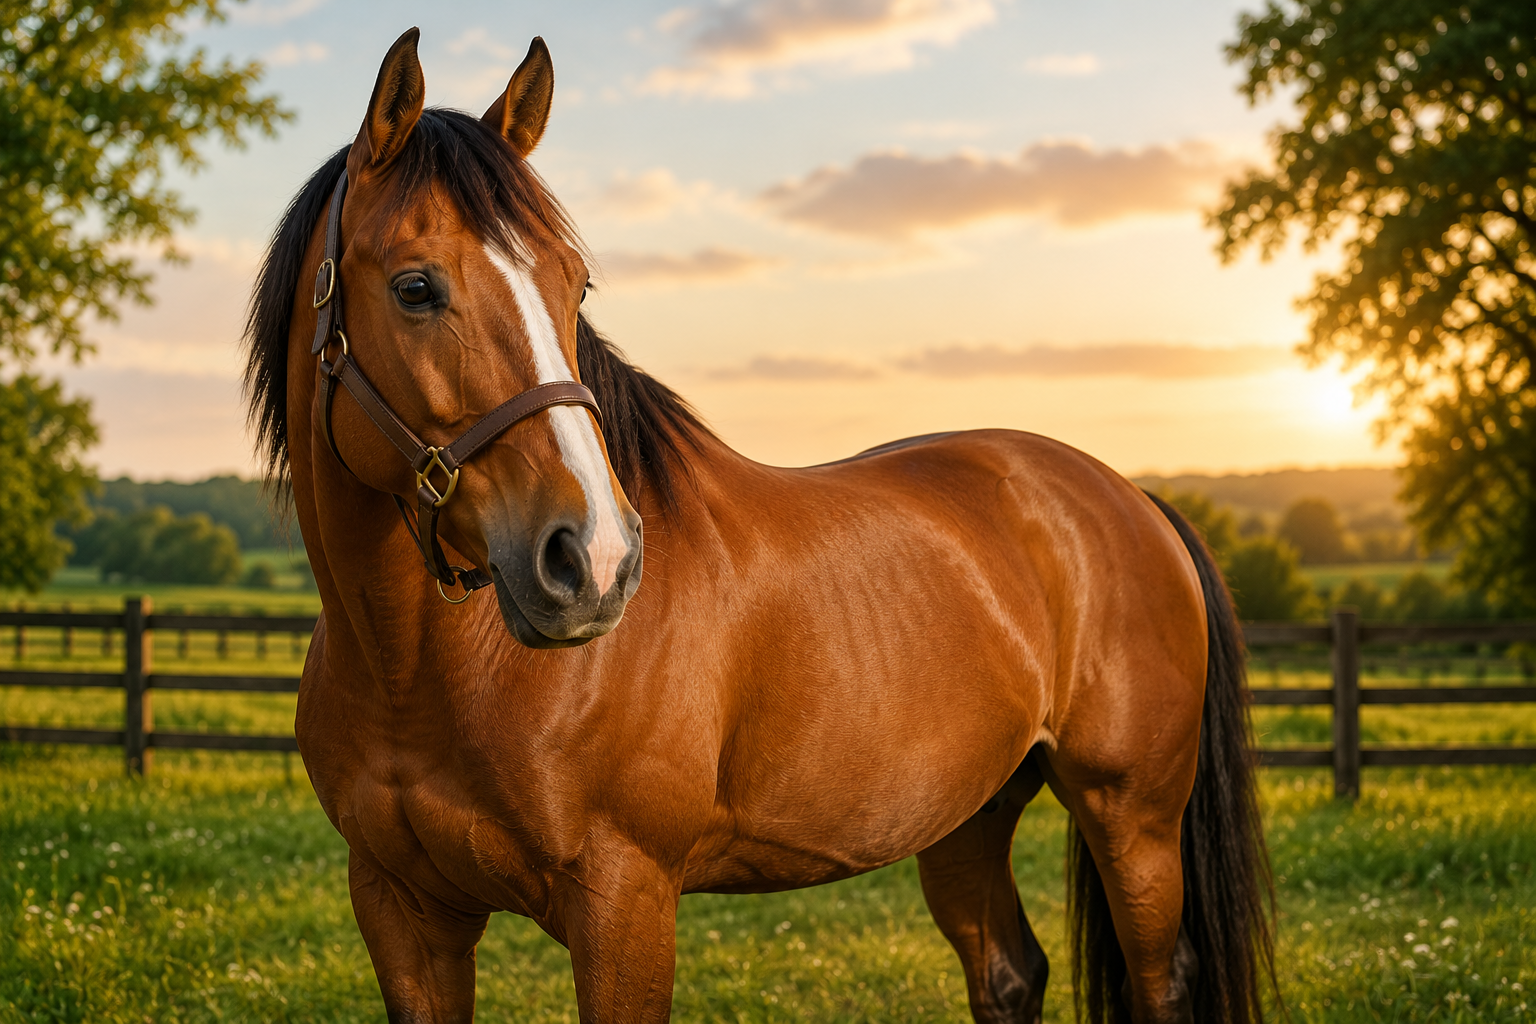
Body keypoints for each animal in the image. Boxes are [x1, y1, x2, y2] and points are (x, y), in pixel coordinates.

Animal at [243, 28, 1275, 1024]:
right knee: (1010, 976)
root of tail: (1134, 500)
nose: (596, 561)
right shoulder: (403, 910)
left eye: (575, 288)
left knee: (1161, 982)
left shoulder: (625, 903)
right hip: (971, 814)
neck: (419, 669)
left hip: (1132, 819)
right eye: (415, 288)